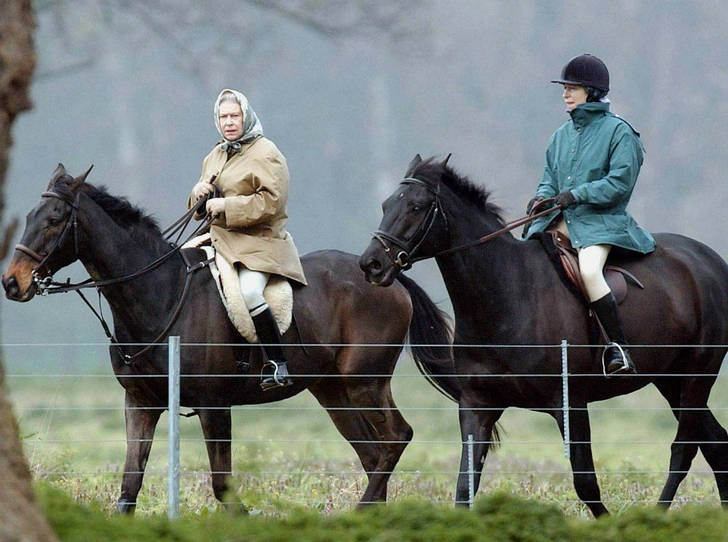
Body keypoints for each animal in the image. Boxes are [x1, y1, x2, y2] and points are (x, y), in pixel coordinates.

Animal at [4, 164, 460, 516]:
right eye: (30, 215)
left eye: (55, 219)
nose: (12, 282)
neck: (160, 293)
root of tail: (388, 276)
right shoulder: (140, 403)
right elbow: (130, 485)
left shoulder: (214, 406)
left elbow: (223, 486)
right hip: (333, 391)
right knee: (374, 454)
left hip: (366, 381)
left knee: (396, 440)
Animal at [362, 156, 728, 520]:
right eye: (384, 205)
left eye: (416, 206)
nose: (372, 264)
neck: (506, 294)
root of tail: (710, 261)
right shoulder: (477, 404)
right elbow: (465, 487)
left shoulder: (570, 404)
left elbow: (586, 483)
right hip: (669, 379)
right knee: (715, 443)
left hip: (698, 374)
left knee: (684, 449)